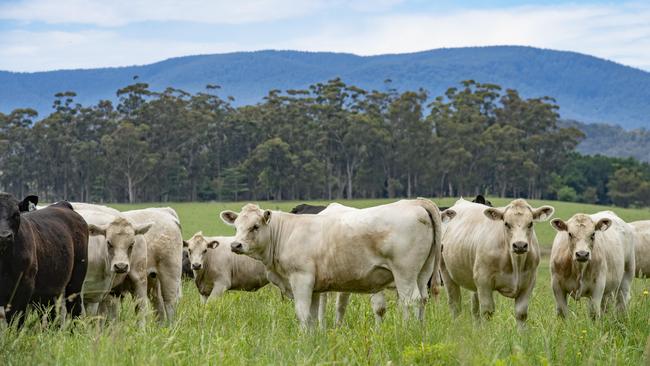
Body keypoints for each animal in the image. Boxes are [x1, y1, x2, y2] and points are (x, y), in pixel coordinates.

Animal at [0, 194, 88, 326]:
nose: (4, 236)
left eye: (16, 214)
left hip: (76, 280)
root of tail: (62, 205)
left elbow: (17, 322)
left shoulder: (23, 288)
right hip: (49, 290)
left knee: (74, 309)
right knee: (51, 315)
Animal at [220, 199, 442, 328]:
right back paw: (420, 330)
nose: (235, 245)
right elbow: (312, 315)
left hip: (404, 273)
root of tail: (414, 203)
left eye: (255, 226)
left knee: (410, 300)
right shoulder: (315, 288)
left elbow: (302, 313)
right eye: (236, 227)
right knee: (422, 299)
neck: (285, 233)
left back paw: (406, 331)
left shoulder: (301, 279)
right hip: (423, 272)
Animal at [438, 197, 548, 326]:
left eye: (530, 223)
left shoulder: (529, 282)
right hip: (446, 273)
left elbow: (521, 313)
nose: (520, 245)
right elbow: (487, 312)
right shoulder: (484, 280)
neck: (515, 262)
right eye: (506, 223)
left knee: (474, 308)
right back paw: (457, 325)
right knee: (455, 305)